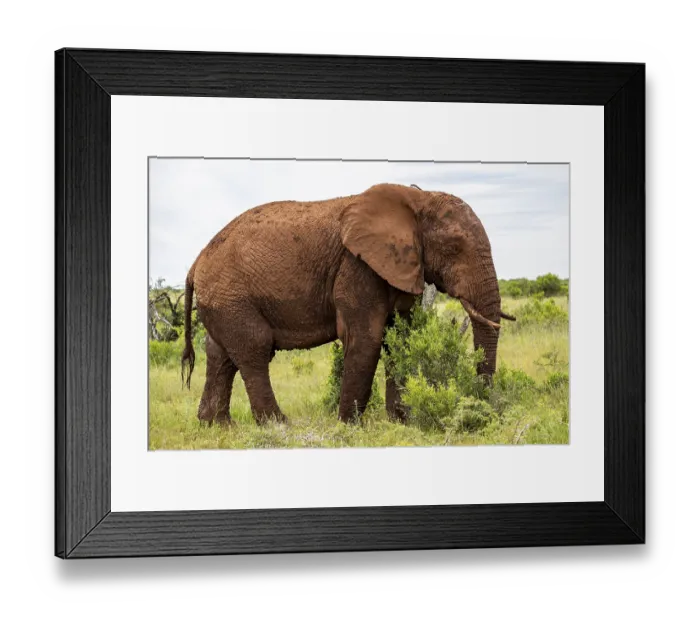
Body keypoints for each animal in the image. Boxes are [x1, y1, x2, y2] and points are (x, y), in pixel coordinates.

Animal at [181, 183, 515, 426]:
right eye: (454, 248)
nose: (480, 408)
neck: (416, 199)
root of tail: (196, 262)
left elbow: (399, 337)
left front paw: (401, 421)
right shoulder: (356, 266)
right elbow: (365, 338)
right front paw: (349, 425)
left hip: (223, 300)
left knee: (220, 354)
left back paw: (215, 425)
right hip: (231, 296)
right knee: (254, 350)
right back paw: (278, 425)